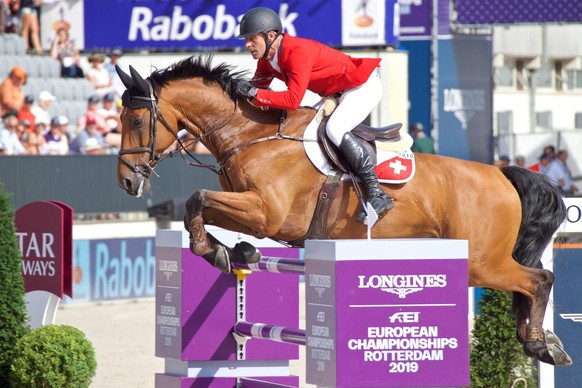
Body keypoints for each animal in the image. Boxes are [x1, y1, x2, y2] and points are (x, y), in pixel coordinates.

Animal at [116, 56, 572, 366]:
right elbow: (202, 209)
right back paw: (541, 340)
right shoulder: (252, 211)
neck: (250, 135)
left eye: (136, 120)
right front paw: (231, 253)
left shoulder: (267, 214)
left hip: (482, 262)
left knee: (538, 279)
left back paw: (540, 344)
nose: (126, 182)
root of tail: (501, 175)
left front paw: (220, 252)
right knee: (529, 284)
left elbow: (197, 199)